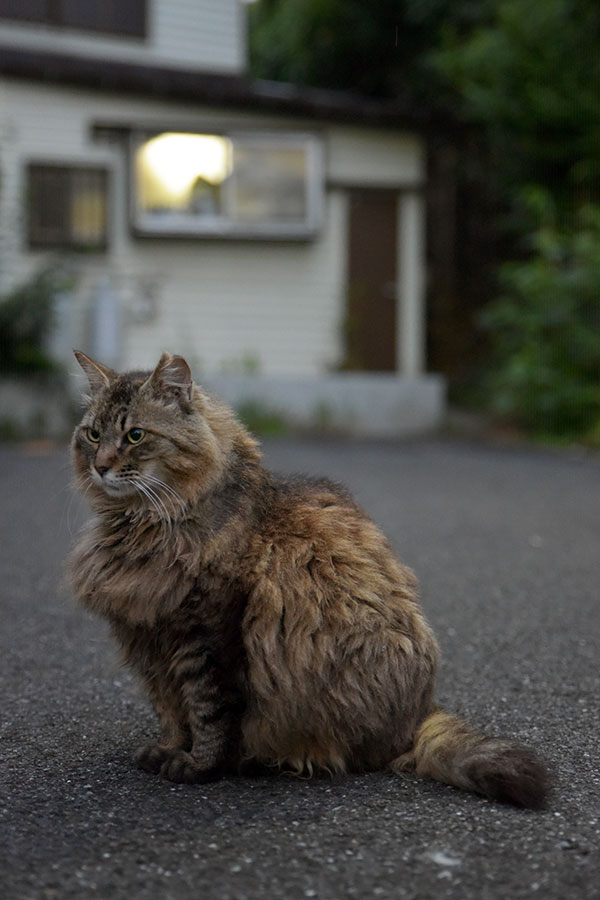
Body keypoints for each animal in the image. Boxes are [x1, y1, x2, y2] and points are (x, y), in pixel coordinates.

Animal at [69, 352, 548, 808]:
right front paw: (169, 749)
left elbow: (208, 712)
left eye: (135, 435)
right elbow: (170, 710)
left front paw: (199, 766)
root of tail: (416, 721)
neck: (143, 525)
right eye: (92, 435)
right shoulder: (148, 637)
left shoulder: (204, 633)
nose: (101, 466)